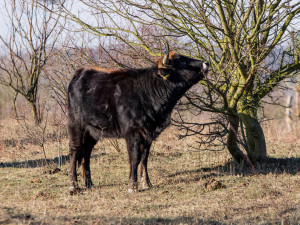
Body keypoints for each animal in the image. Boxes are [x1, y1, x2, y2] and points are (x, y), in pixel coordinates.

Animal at [67, 49, 209, 193]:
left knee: (86, 152)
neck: (148, 92)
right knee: (74, 150)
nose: (206, 63)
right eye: (182, 61)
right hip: (76, 126)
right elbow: (135, 158)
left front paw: (146, 182)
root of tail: (80, 73)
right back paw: (73, 185)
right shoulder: (132, 133)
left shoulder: (148, 134)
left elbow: (144, 158)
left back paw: (89, 183)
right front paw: (132, 185)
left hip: (93, 131)